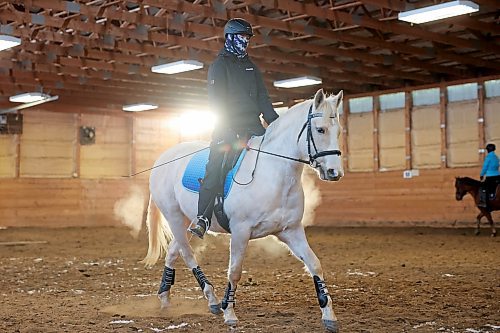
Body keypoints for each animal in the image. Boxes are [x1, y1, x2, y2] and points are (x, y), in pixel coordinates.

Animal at [141, 87, 344, 330]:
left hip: (186, 220)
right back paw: (212, 300)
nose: (334, 173)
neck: (273, 174)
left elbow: (315, 264)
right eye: (320, 129)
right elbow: (235, 271)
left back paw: (166, 296)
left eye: (339, 131)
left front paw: (329, 315)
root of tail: (163, 158)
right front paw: (229, 313)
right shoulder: (240, 231)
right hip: (173, 216)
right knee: (187, 254)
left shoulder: (291, 231)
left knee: (174, 251)